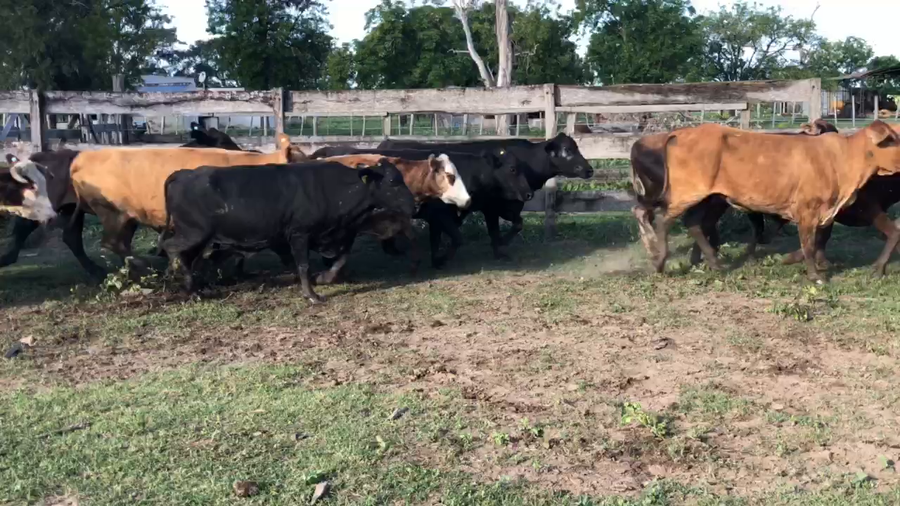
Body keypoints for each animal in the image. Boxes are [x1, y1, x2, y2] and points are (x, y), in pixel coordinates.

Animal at [69, 134, 308, 269]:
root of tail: (82, 158)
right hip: (113, 212)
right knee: (113, 243)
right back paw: (145, 267)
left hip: (128, 217)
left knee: (120, 243)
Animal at [161, 159, 416, 303]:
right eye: (393, 182)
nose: (414, 206)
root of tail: (183, 173)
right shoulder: (299, 234)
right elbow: (303, 265)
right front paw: (312, 295)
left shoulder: (337, 234)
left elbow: (341, 258)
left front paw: (324, 278)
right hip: (194, 233)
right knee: (170, 248)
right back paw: (182, 280)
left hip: (198, 238)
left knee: (186, 257)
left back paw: (192, 289)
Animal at [632, 120, 900, 282]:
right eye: (894, 139)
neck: (841, 159)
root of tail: (679, 133)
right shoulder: (808, 210)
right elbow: (809, 245)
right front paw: (815, 275)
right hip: (687, 194)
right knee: (664, 221)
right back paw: (659, 262)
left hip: (709, 198)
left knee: (695, 225)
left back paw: (714, 263)